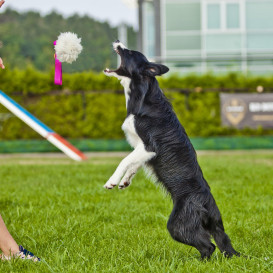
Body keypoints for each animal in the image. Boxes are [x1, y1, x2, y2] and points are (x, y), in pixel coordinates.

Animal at [102, 41, 238, 260]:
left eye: (129, 52)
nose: (118, 43)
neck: (142, 97)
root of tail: (210, 209)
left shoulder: (148, 147)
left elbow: (124, 160)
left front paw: (112, 181)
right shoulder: (141, 149)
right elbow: (133, 165)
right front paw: (125, 181)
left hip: (177, 225)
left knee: (208, 246)